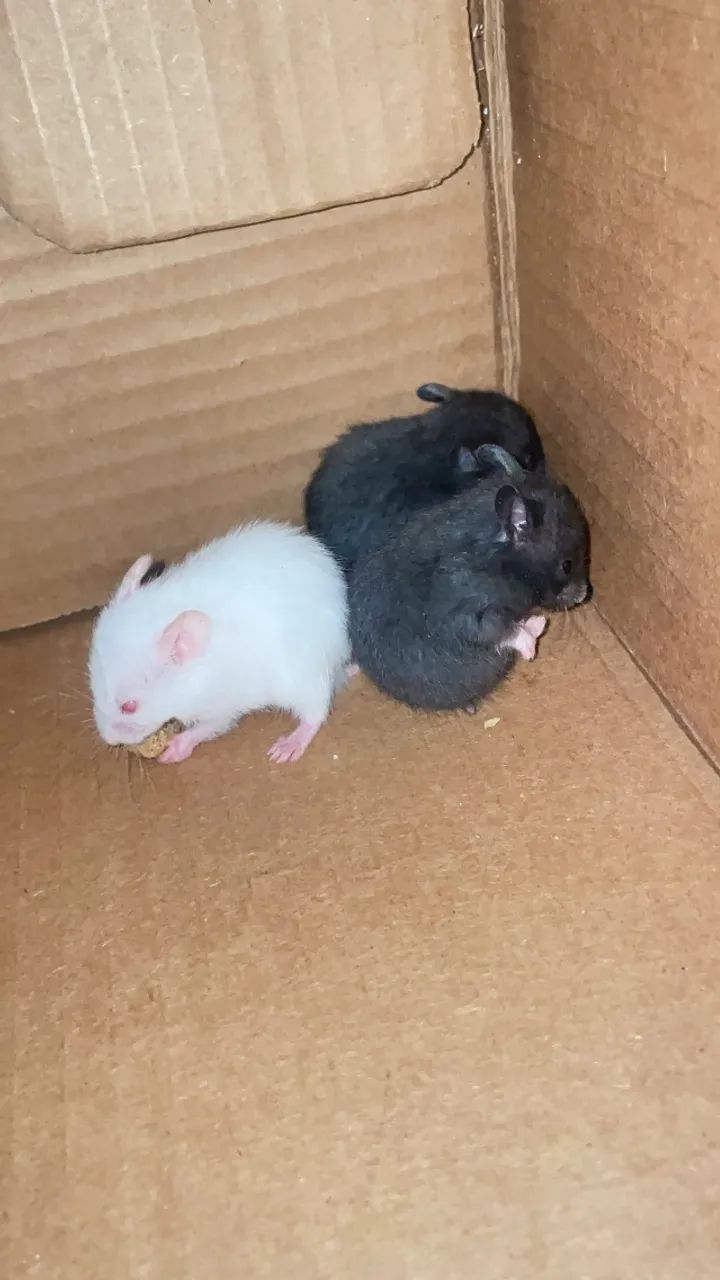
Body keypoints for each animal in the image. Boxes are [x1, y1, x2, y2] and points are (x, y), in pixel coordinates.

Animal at [88, 521, 350, 764]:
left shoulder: (222, 703)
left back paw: (287, 748)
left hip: (301, 677)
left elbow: (209, 726)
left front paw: (171, 750)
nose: (108, 740)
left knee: (315, 713)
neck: (194, 676)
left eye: (129, 707)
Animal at [348, 451, 590, 713]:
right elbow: (501, 630)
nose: (584, 595)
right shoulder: (470, 612)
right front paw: (533, 643)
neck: (504, 563)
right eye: (566, 565)